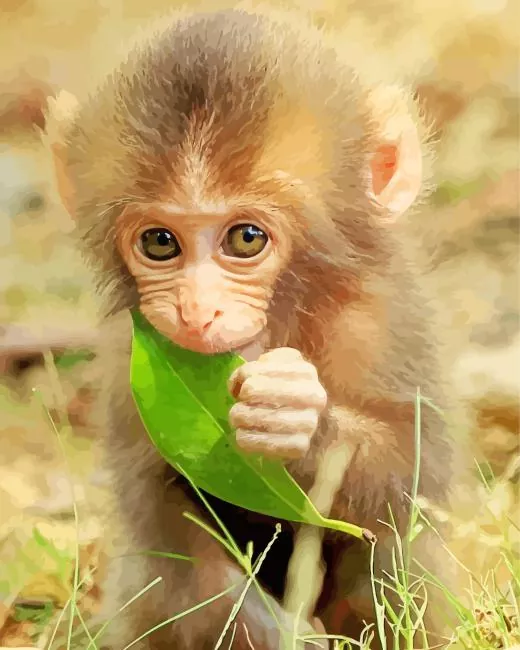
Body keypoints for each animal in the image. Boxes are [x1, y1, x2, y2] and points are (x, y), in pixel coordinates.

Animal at [45, 7, 478, 649]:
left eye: (245, 239)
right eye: (159, 242)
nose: (197, 312)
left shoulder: (380, 316)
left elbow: (415, 473)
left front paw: (296, 418)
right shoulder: (134, 355)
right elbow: (169, 538)